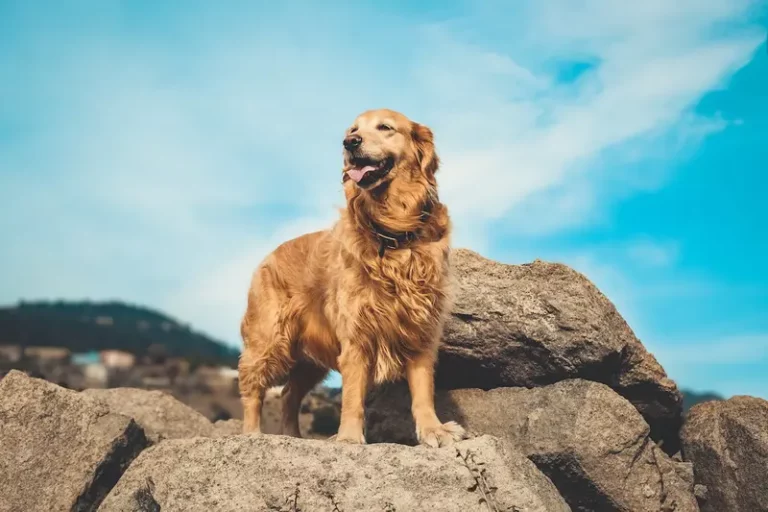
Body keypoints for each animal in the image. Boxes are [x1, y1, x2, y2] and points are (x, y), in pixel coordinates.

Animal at [240, 109, 464, 448]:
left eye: (385, 127)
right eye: (353, 129)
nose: (350, 143)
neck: (392, 231)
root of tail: (267, 257)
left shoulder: (420, 328)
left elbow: (423, 391)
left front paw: (433, 430)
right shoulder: (356, 333)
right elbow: (352, 395)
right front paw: (347, 437)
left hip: (309, 361)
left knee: (290, 393)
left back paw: (294, 436)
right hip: (269, 338)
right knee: (253, 385)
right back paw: (252, 433)